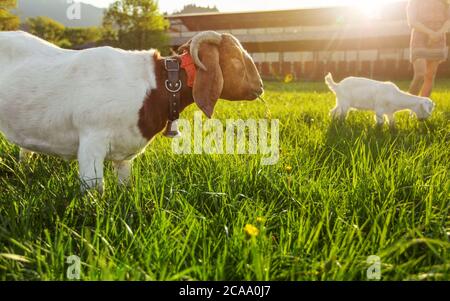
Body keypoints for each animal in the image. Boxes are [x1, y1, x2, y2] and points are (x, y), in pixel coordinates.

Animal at [0, 31, 264, 192]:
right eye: (236, 61)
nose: (260, 86)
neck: (157, 86)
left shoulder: (124, 154)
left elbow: (125, 185)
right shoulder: (91, 142)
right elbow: (94, 191)